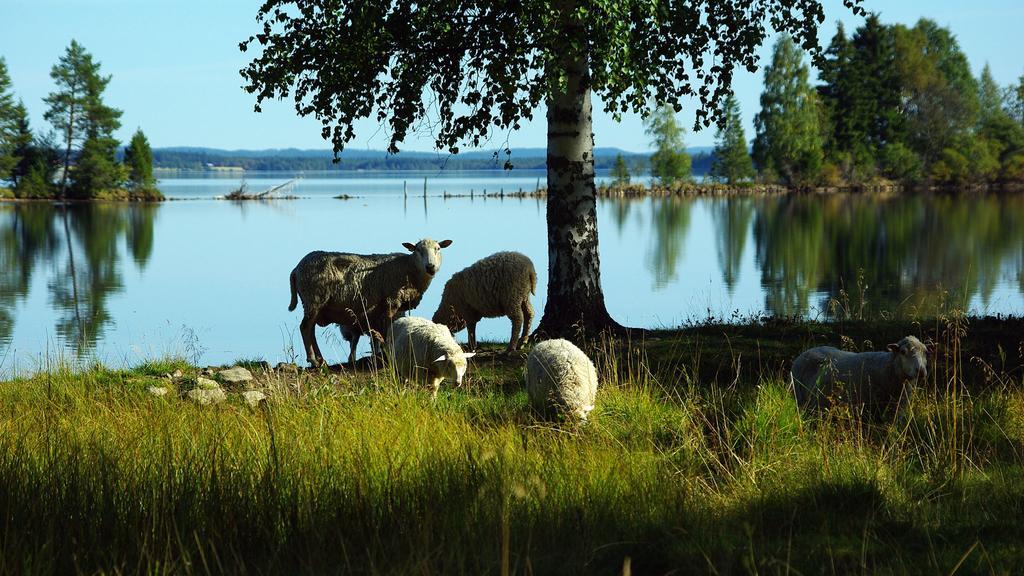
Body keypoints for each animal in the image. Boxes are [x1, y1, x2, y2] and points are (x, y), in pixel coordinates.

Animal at [286, 236, 450, 362]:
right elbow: (388, 328)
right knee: (305, 328)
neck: (408, 268)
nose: (430, 266)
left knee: (311, 330)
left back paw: (320, 360)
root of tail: (296, 269)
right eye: (418, 250)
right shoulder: (391, 301)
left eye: (438, 249)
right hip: (314, 299)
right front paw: (386, 354)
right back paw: (313, 360)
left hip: (315, 304)